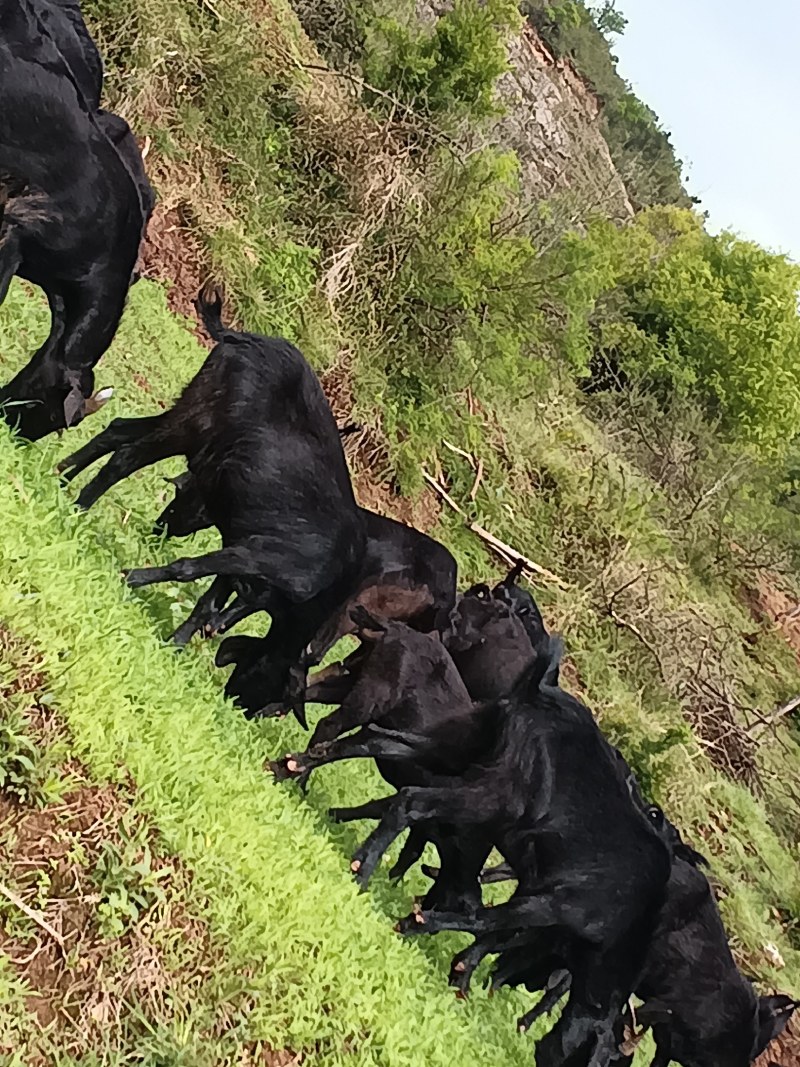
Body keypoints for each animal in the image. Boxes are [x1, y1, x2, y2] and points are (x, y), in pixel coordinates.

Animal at [58, 283, 366, 721]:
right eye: (275, 688)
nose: (243, 709)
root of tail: (244, 338)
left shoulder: (246, 562)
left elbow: (208, 603)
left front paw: (175, 643)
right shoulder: (257, 555)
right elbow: (187, 569)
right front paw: (131, 577)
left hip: (192, 417)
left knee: (118, 430)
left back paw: (62, 476)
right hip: (196, 421)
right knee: (127, 455)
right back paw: (81, 504)